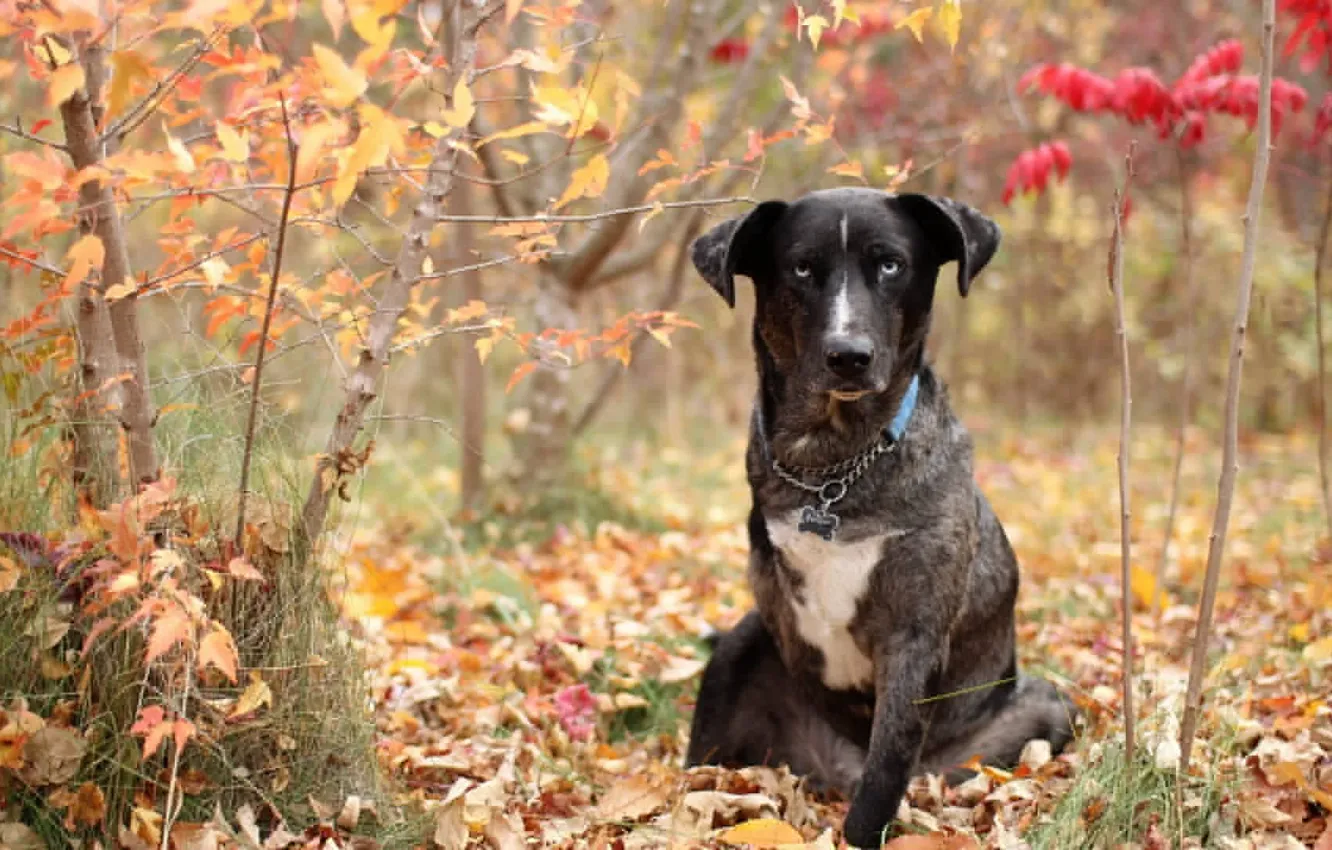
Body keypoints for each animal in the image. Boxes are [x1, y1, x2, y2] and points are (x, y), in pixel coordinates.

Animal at [681, 189, 1076, 847]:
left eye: (891, 264)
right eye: (802, 268)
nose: (849, 356)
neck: (834, 468)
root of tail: (835, 770)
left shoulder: (911, 637)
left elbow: (888, 761)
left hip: (1037, 712)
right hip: (743, 640)